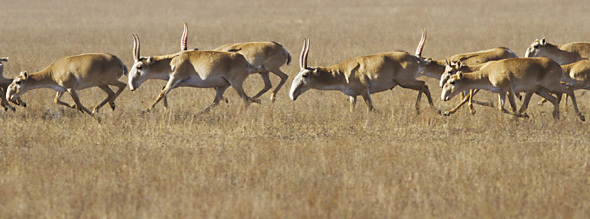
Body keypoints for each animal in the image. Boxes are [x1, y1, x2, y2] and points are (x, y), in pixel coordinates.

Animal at [131, 34, 260, 113]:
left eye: (139, 66)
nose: (132, 86)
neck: (173, 60)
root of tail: (245, 62)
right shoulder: (179, 83)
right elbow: (164, 90)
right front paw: (166, 109)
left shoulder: (175, 79)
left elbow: (162, 92)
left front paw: (146, 109)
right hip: (223, 86)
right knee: (217, 101)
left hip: (235, 84)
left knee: (245, 99)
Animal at [290, 30, 438, 112]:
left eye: (305, 74)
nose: (292, 94)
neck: (343, 72)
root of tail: (414, 57)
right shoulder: (353, 95)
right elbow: (352, 110)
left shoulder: (364, 92)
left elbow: (371, 108)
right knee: (424, 86)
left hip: (405, 82)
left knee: (423, 84)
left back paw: (420, 109)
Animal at [442, 56, 584, 120]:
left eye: (452, 81)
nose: (444, 97)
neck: (487, 72)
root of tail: (558, 66)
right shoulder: (501, 93)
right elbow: (501, 108)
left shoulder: (508, 90)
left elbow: (514, 107)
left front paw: (520, 118)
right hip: (541, 90)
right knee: (555, 99)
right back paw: (556, 117)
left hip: (552, 85)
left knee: (569, 91)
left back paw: (580, 115)